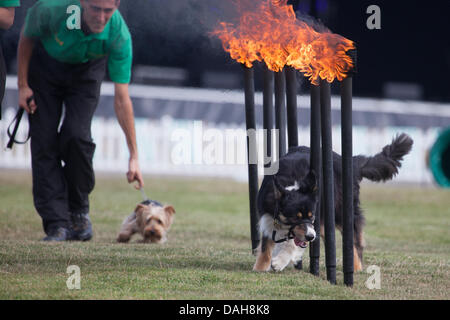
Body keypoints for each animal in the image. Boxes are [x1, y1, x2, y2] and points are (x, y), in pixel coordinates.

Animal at [251, 134, 414, 272]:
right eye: (295, 217)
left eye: (311, 216)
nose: (311, 237)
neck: (293, 185)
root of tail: (350, 162)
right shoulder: (268, 214)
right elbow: (266, 246)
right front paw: (260, 268)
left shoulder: (314, 221)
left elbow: (293, 244)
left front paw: (279, 262)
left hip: (340, 210)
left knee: (355, 239)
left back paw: (356, 267)